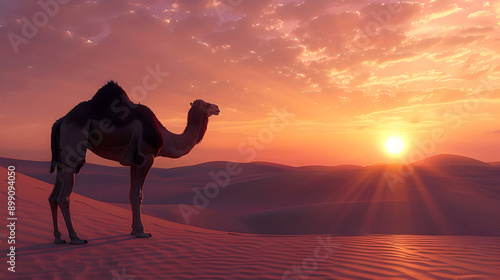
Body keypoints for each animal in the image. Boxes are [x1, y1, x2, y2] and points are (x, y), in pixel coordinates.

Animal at [49, 80, 220, 244]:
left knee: (53, 196)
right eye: (205, 104)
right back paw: (75, 238)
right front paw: (142, 232)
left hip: (61, 158)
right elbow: (139, 195)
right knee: (64, 195)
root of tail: (61, 121)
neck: (166, 138)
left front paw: (133, 230)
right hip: (74, 143)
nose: (217, 107)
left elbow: (131, 195)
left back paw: (58, 238)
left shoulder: (134, 162)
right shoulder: (147, 156)